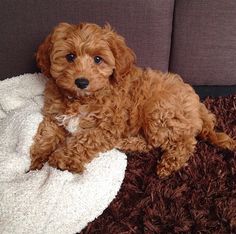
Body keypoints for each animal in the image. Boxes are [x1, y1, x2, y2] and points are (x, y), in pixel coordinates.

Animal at [30, 22, 235, 177]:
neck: (82, 99)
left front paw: (61, 159)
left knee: (181, 143)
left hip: (158, 112)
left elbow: (83, 140)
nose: (81, 81)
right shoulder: (54, 116)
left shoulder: (107, 127)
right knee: (150, 143)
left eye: (98, 59)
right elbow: (47, 134)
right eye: (70, 56)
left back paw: (167, 165)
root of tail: (198, 104)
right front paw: (36, 163)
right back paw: (127, 144)